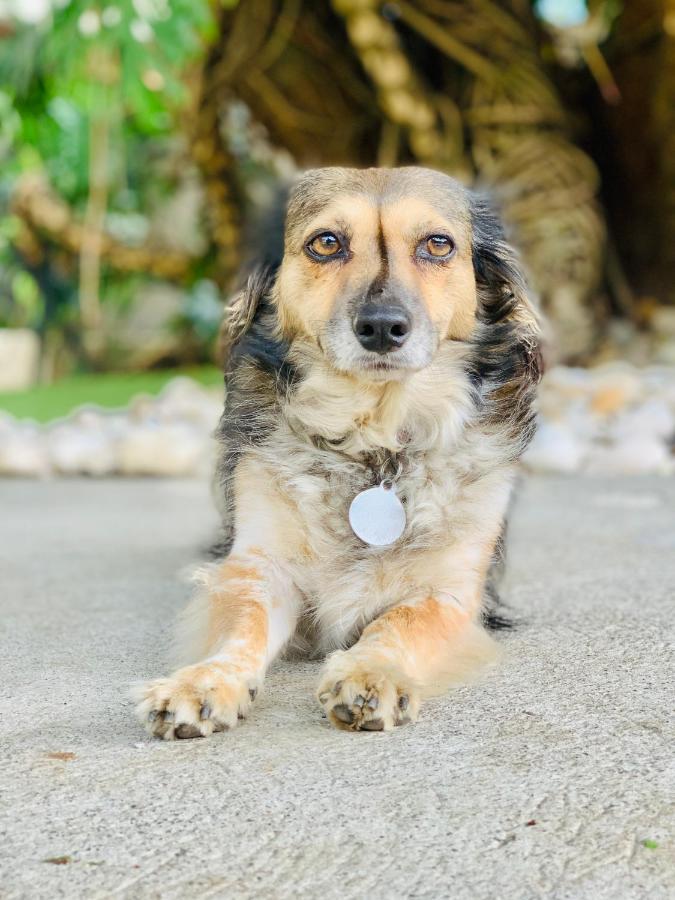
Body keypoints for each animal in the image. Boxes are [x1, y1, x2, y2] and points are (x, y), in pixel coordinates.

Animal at [135, 169, 540, 740]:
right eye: (326, 242)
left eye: (438, 244)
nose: (382, 328)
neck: (375, 447)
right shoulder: (258, 566)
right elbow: (243, 623)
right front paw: (204, 681)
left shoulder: (453, 592)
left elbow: (400, 620)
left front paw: (371, 673)